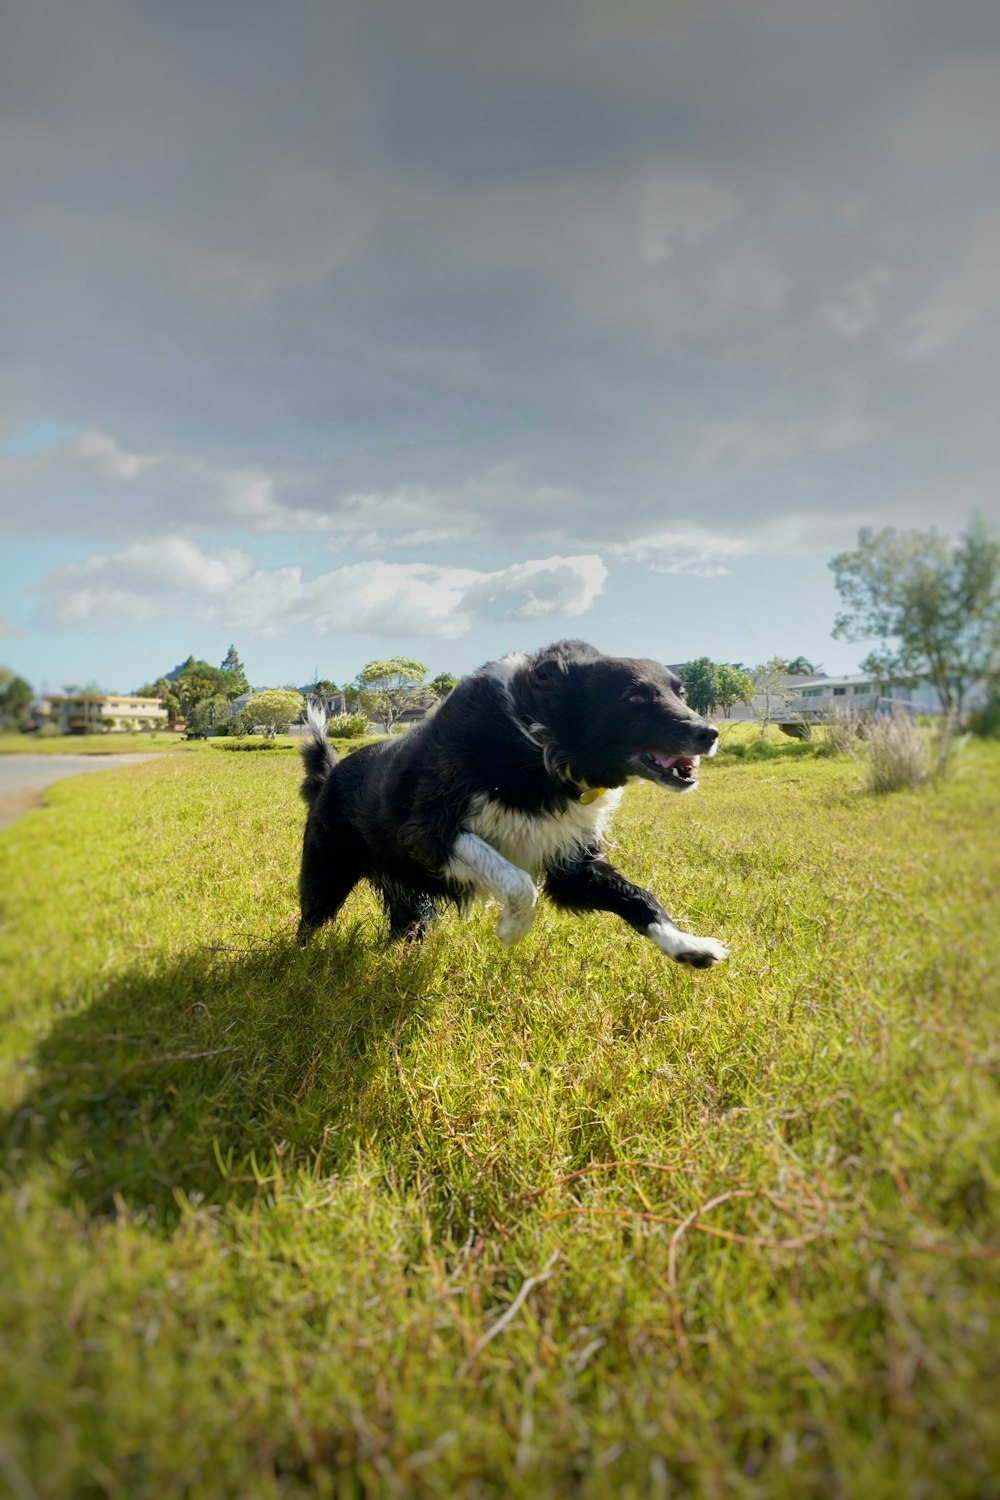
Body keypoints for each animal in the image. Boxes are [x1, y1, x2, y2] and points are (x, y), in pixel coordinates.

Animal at [296, 636, 728, 966]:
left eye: (681, 693)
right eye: (635, 696)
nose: (709, 733)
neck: (538, 742)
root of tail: (329, 774)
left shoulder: (571, 862)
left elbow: (637, 896)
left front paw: (689, 946)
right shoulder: (428, 832)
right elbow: (519, 882)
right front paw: (511, 930)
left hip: (409, 891)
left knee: (408, 924)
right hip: (328, 870)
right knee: (310, 920)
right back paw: (299, 965)